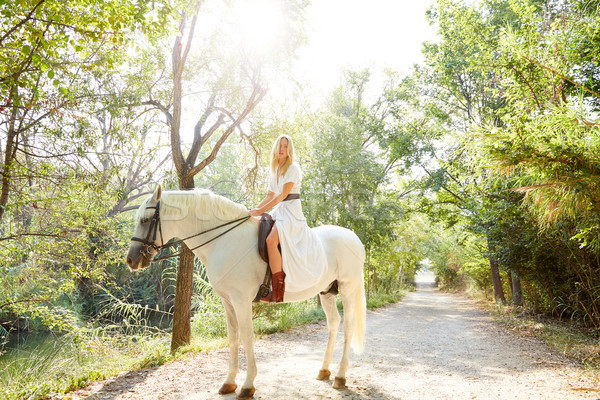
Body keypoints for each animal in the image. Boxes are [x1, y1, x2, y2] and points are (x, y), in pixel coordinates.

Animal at [126, 187, 366, 396]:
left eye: (145, 220)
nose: (131, 260)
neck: (223, 240)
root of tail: (354, 238)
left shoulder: (241, 300)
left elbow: (248, 336)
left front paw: (248, 385)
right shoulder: (228, 301)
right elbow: (233, 337)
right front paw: (229, 382)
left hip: (347, 288)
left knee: (348, 326)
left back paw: (340, 376)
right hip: (326, 292)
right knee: (334, 324)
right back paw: (325, 371)